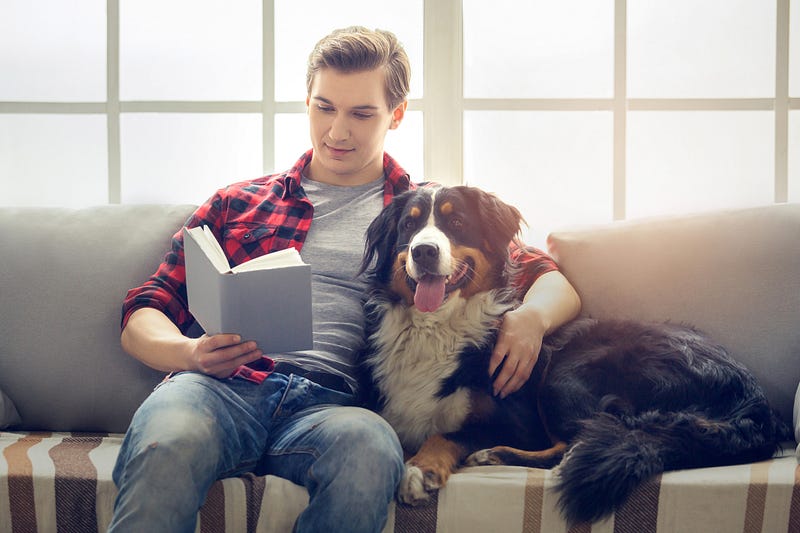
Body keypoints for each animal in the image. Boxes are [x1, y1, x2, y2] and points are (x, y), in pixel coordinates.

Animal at [358, 184, 788, 524]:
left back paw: (494, 454)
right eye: (409, 226)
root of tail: (753, 403)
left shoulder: (517, 421)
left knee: (572, 445)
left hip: (566, 374)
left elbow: (446, 434)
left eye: (457, 222)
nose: (424, 251)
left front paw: (420, 469)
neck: (436, 329)